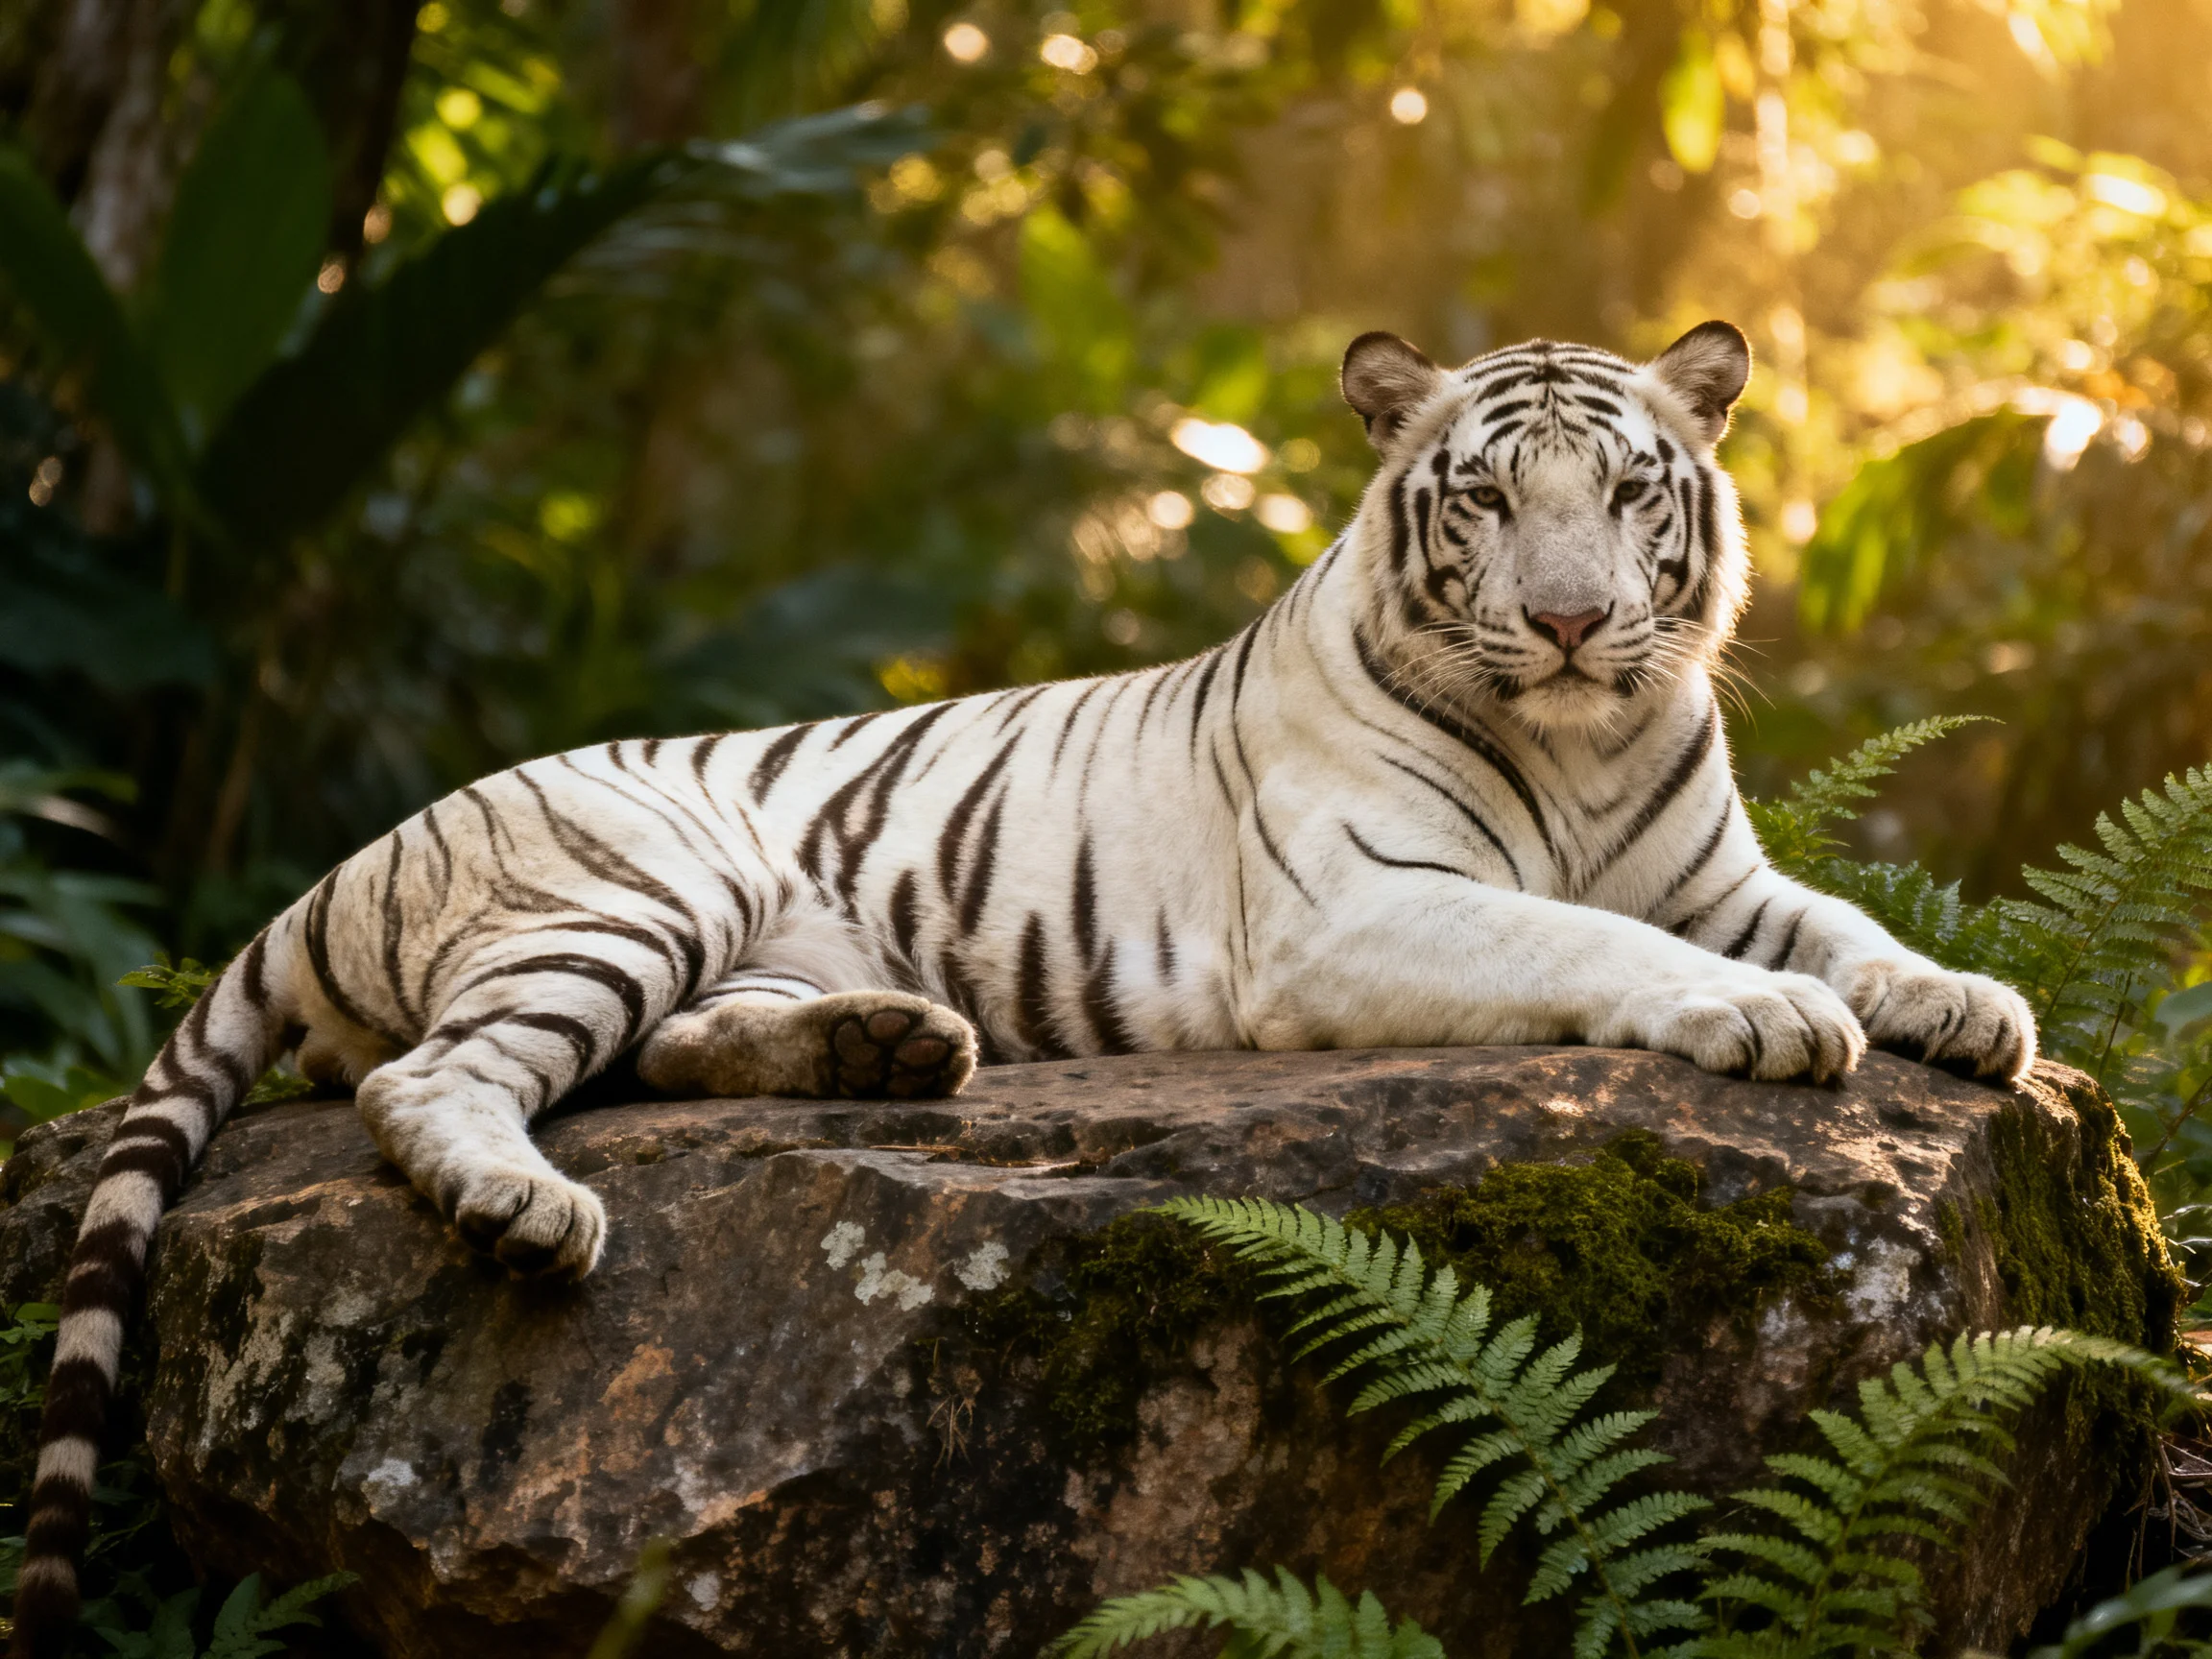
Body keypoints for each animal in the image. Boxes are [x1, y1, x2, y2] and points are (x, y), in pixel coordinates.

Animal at [9, 319, 2035, 1654]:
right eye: (1482, 499)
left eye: (1625, 491)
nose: (1562, 620)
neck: (1586, 741)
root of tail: (356, 852)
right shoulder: (1357, 908)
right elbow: (1599, 942)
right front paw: (1760, 1022)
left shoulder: (1721, 873)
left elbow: (1842, 927)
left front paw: (1964, 1004)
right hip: (639, 878)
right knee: (428, 1079)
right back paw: (530, 1207)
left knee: (650, 1051)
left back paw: (890, 1041)